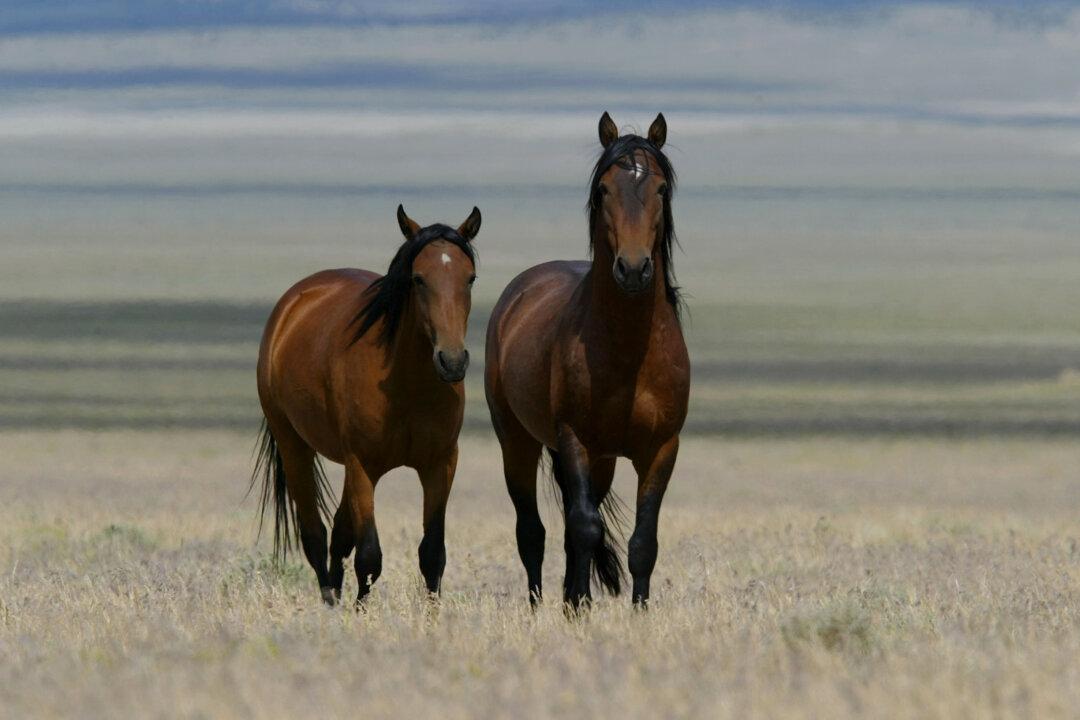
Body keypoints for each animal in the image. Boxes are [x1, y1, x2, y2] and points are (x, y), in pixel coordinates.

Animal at [252, 204, 482, 606]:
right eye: (418, 279)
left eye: (469, 278)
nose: (452, 361)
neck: (407, 384)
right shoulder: (363, 466)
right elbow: (370, 555)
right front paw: (361, 611)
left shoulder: (440, 464)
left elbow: (432, 553)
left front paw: (433, 614)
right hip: (295, 446)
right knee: (315, 534)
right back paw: (330, 601)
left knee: (340, 533)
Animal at [485, 112, 689, 609]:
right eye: (604, 190)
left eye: (660, 189)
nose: (633, 269)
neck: (628, 351)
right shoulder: (574, 440)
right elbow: (583, 527)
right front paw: (578, 607)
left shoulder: (661, 448)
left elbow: (642, 541)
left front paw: (636, 611)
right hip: (518, 441)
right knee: (533, 531)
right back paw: (540, 603)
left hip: (604, 460)